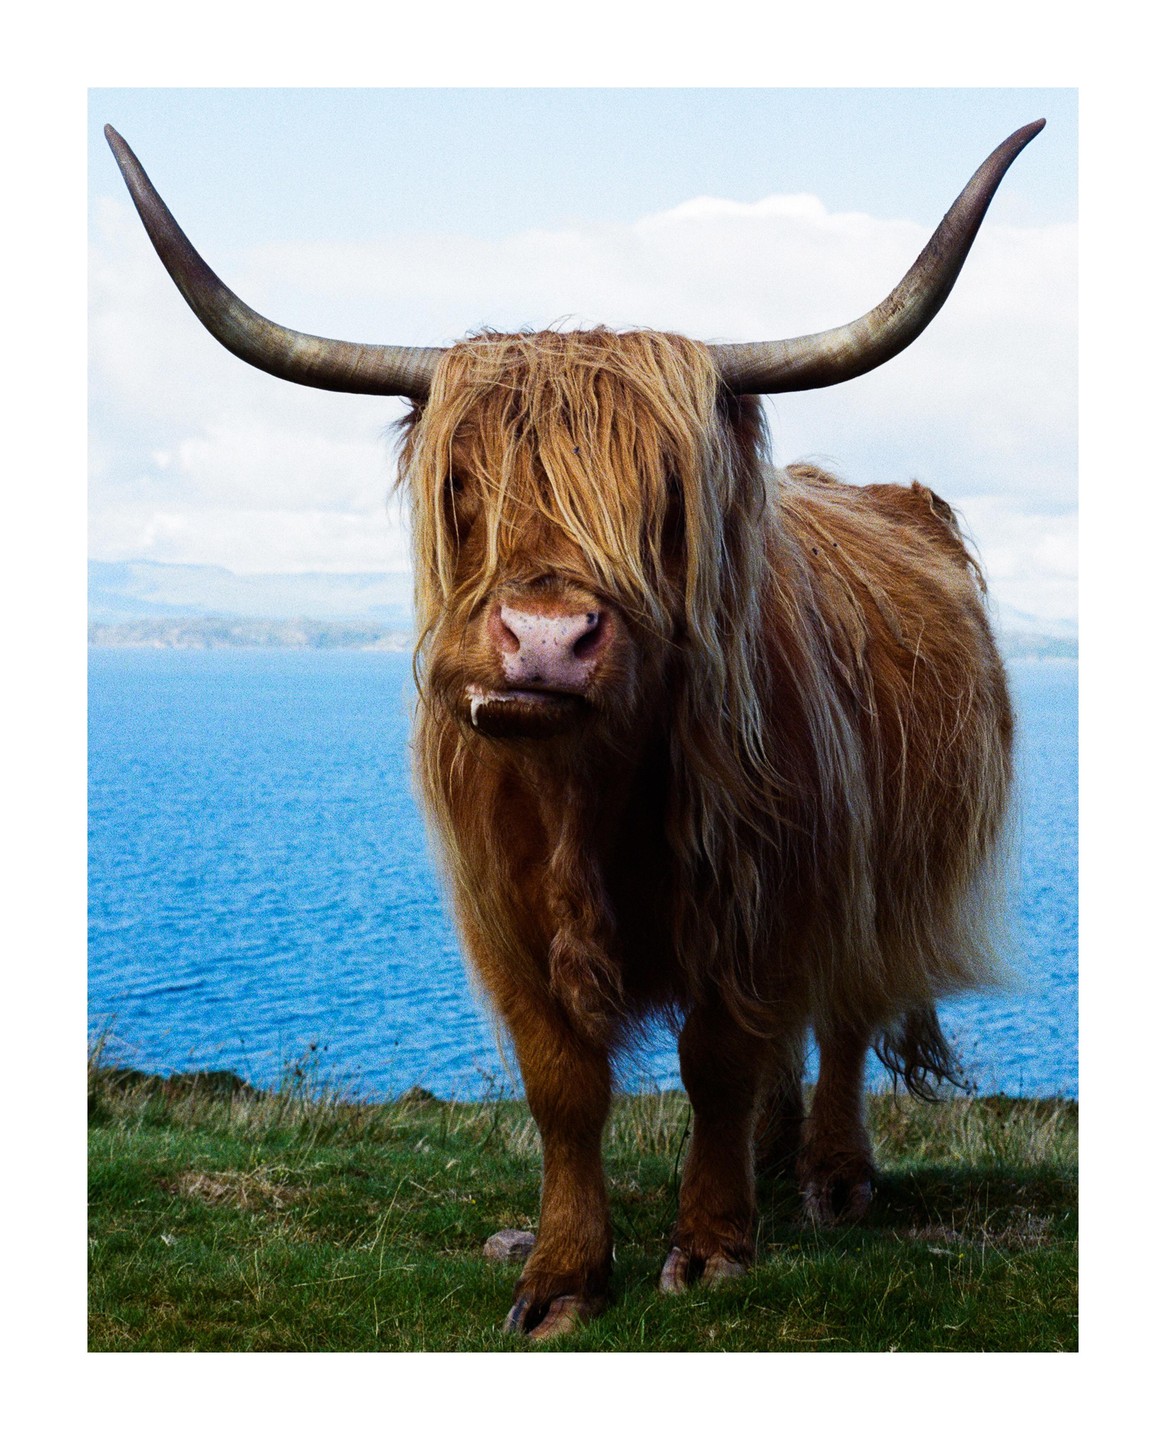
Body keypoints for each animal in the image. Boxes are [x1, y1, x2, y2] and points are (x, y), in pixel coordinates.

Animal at [106, 119, 1040, 1339]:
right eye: (463, 484)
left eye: (662, 499)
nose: (547, 640)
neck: (579, 807)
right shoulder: (499, 918)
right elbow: (564, 1083)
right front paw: (558, 1275)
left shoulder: (763, 891)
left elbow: (718, 1057)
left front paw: (710, 1246)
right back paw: (775, 1156)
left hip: (874, 873)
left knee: (839, 1014)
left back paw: (830, 1175)